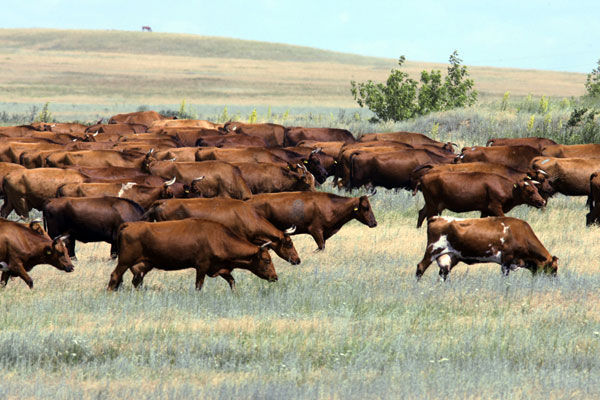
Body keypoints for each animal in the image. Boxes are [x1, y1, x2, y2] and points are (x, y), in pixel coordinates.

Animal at [108, 219, 276, 290]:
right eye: (267, 260)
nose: (275, 277)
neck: (218, 238)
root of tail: (129, 224)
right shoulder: (202, 267)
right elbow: (198, 285)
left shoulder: (220, 269)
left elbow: (232, 282)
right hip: (124, 261)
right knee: (115, 276)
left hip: (142, 265)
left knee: (136, 281)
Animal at [244, 191, 376, 250]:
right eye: (365, 207)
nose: (374, 223)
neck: (331, 206)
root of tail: (249, 199)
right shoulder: (315, 230)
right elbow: (320, 247)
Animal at [414, 171, 548, 228]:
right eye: (530, 191)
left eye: (536, 189)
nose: (542, 202)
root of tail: (423, 176)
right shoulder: (495, 207)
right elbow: (503, 218)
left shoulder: (485, 210)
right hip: (433, 204)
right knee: (428, 216)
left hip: (430, 204)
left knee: (421, 213)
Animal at [414, 217, 560, 280]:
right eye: (554, 268)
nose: (554, 280)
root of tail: (436, 217)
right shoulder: (506, 260)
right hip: (432, 251)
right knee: (420, 267)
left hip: (450, 256)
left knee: (443, 273)